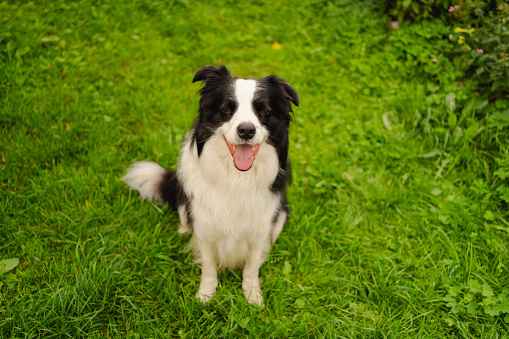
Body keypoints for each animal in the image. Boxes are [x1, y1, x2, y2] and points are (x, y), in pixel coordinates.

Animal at [122, 65, 298, 306]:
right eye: (227, 109)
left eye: (263, 112)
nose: (246, 130)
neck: (236, 178)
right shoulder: (205, 226)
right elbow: (208, 265)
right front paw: (206, 294)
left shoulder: (260, 227)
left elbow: (251, 267)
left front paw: (252, 295)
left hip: (282, 212)